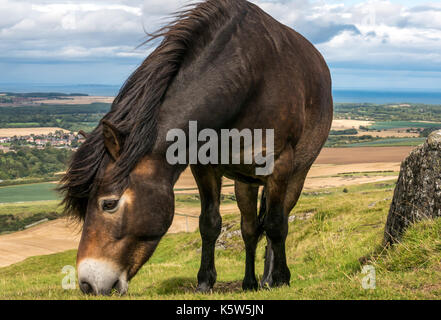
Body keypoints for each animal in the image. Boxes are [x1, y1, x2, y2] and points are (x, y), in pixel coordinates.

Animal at [59, 0, 334, 296]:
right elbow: (210, 224)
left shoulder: (280, 166)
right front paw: (204, 282)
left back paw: (270, 278)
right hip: (245, 183)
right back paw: (251, 282)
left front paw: (280, 278)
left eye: (108, 204)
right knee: (249, 227)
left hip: (296, 175)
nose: (87, 284)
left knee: (279, 218)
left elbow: (275, 224)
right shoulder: (204, 166)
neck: (246, 79)